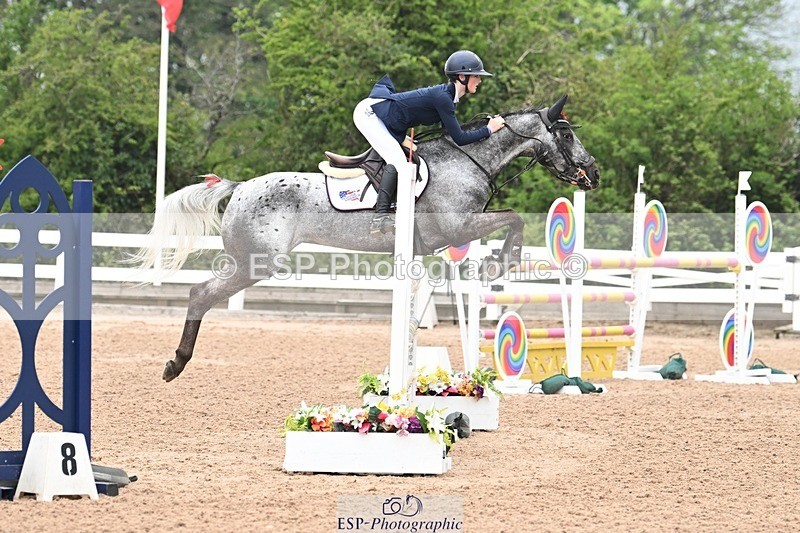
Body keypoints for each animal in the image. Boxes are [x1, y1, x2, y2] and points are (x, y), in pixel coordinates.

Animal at [135, 94, 600, 382]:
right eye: (566, 134)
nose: (592, 174)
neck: (467, 159)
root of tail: (240, 186)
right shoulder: (460, 226)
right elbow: (514, 219)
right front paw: (502, 261)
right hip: (258, 263)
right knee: (200, 293)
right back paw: (175, 364)